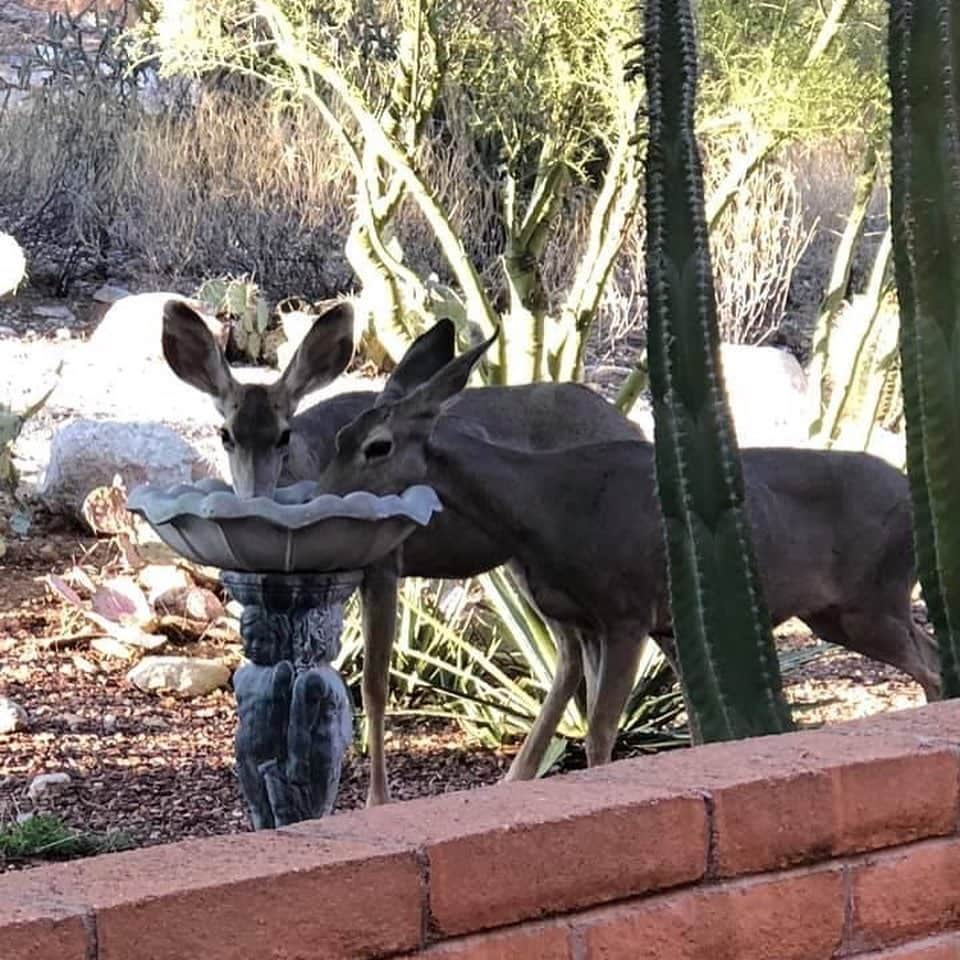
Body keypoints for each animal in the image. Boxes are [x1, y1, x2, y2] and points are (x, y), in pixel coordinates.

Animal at [161, 300, 644, 804]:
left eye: (283, 436)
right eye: (225, 434)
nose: (253, 497)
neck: (317, 460)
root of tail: (629, 422)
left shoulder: (382, 563)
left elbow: (374, 686)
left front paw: (377, 800)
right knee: (571, 652)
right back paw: (517, 776)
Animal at [316, 322, 944, 772]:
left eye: (376, 445)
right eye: (341, 436)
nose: (321, 495)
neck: (542, 509)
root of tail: (913, 494)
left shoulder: (627, 612)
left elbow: (600, 733)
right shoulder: (599, 622)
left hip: (871, 599)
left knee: (932, 666)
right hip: (841, 611)